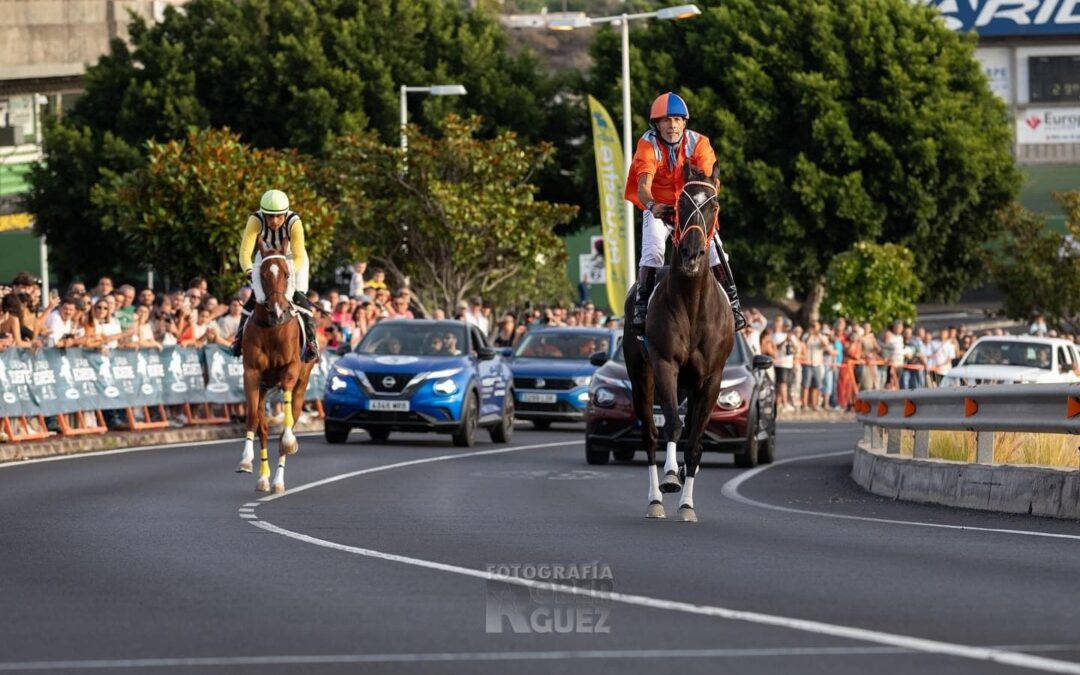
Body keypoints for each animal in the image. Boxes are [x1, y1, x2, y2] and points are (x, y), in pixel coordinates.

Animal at [234, 239, 315, 492]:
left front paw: (288, 441)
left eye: (287, 273)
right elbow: (253, 419)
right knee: (263, 428)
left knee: (291, 418)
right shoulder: (252, 373)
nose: (278, 310)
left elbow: (286, 428)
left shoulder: (291, 369)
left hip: (301, 385)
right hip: (264, 388)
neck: (272, 327)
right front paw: (245, 461)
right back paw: (263, 479)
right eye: (262, 274)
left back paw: (278, 481)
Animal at [622, 162, 738, 520]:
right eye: (681, 204)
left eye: (713, 205)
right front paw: (671, 477)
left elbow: (695, 442)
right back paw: (657, 497)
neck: (691, 303)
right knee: (650, 434)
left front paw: (687, 504)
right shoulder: (664, 365)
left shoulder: (712, 377)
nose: (691, 254)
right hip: (641, 373)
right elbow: (671, 425)